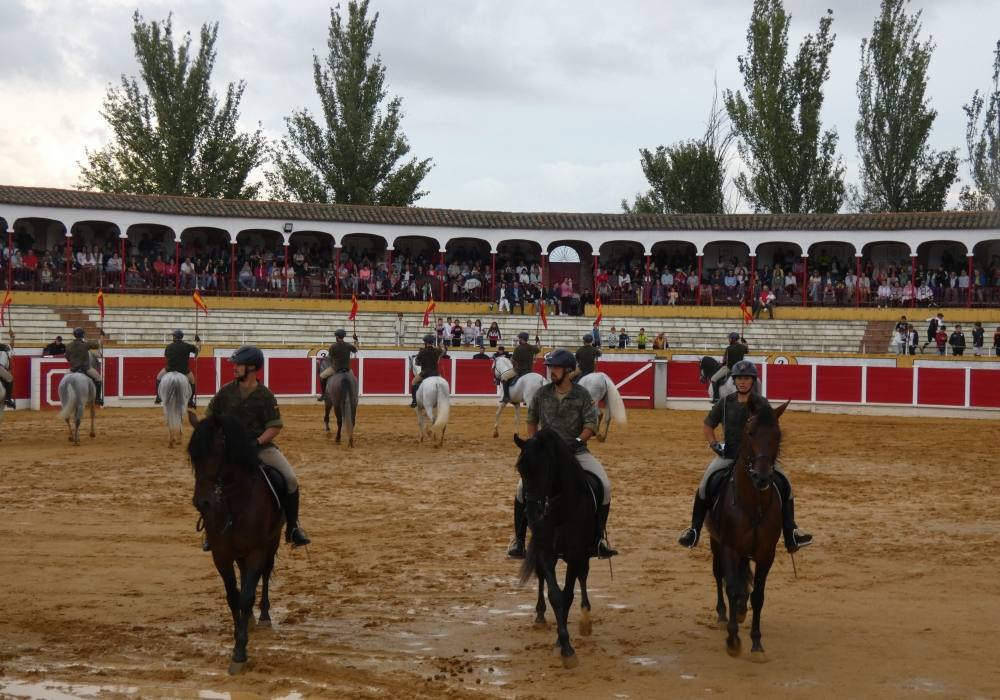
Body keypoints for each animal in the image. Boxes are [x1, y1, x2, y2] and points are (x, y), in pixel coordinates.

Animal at [188, 412, 284, 676]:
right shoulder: (221, 554)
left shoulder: (257, 551)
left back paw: (263, 615)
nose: (202, 502)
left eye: (218, 451)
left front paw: (240, 652)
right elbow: (233, 595)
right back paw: (248, 618)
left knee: (265, 574)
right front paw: (237, 634)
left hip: (272, 542)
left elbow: (247, 595)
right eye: (192, 457)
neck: (234, 503)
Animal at [512, 430, 596, 668]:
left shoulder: (576, 553)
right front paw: (564, 645)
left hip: (584, 553)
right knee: (541, 577)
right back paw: (540, 616)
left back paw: (586, 616)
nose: (531, 513)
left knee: (583, 576)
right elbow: (556, 595)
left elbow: (568, 594)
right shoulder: (545, 552)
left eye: (545, 468)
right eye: (520, 469)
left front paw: (565, 645)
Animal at [704, 396, 788, 660]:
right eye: (750, 433)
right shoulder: (729, 548)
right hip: (715, 543)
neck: (753, 505)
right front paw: (733, 640)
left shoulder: (766, 554)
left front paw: (756, 642)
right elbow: (731, 587)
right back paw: (723, 614)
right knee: (718, 574)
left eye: (777, 434)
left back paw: (741, 610)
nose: (762, 477)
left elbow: (758, 595)